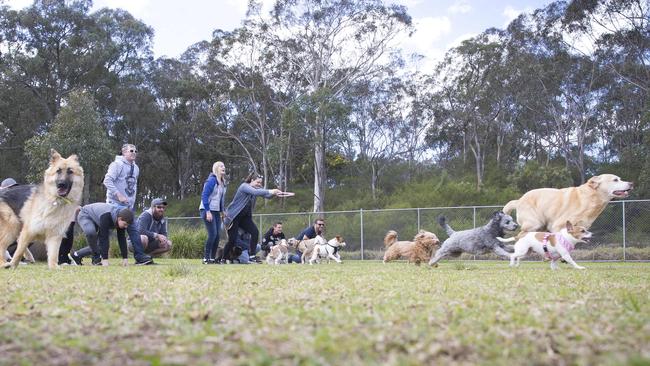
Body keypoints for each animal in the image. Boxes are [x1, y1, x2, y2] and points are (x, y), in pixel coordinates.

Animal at [504, 173, 632, 233]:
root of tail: (519, 200)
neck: (589, 198)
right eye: (615, 180)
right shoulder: (557, 226)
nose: (631, 183)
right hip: (534, 224)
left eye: (620, 178)